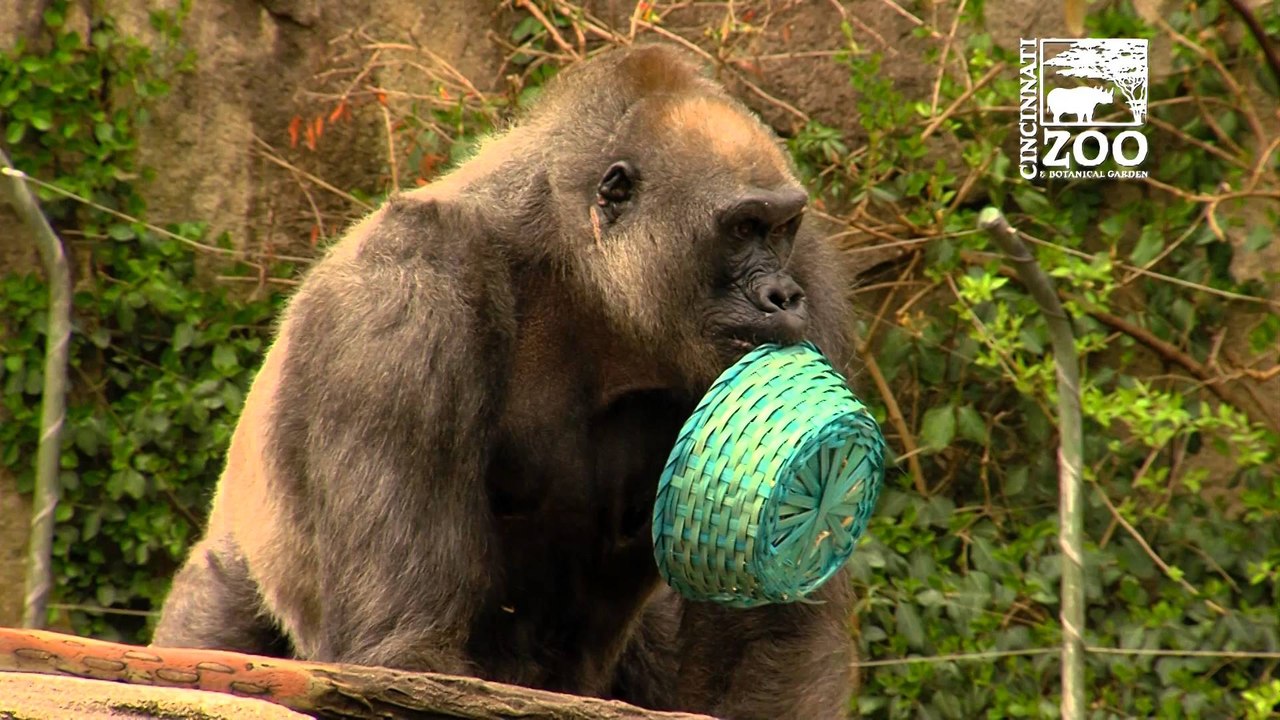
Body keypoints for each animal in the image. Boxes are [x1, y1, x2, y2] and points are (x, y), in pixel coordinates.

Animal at [152, 44, 858, 720]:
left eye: (781, 228)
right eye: (741, 228)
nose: (782, 295)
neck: (579, 266)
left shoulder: (812, 268)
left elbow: (770, 633)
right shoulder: (406, 291)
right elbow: (406, 649)